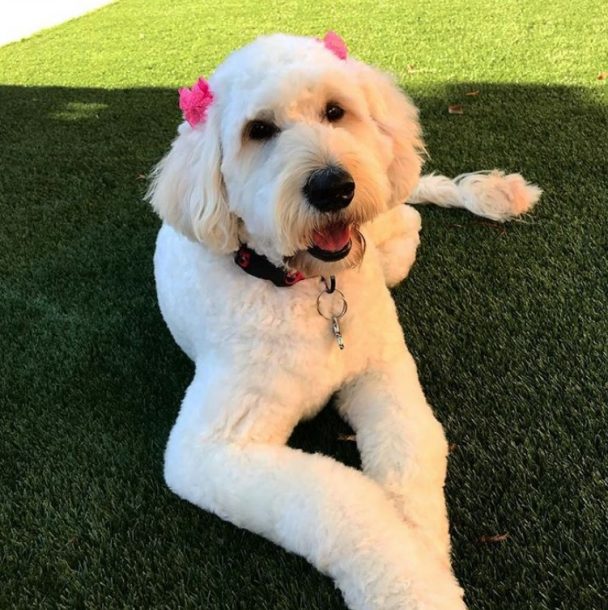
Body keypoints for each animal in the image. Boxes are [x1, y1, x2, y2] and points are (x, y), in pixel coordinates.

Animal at [148, 33, 540, 608]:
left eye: (335, 111)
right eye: (258, 130)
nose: (333, 187)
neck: (307, 289)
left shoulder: (383, 370)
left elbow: (412, 449)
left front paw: (423, 559)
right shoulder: (209, 448)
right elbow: (340, 497)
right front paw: (417, 580)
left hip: (385, 214)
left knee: (411, 213)